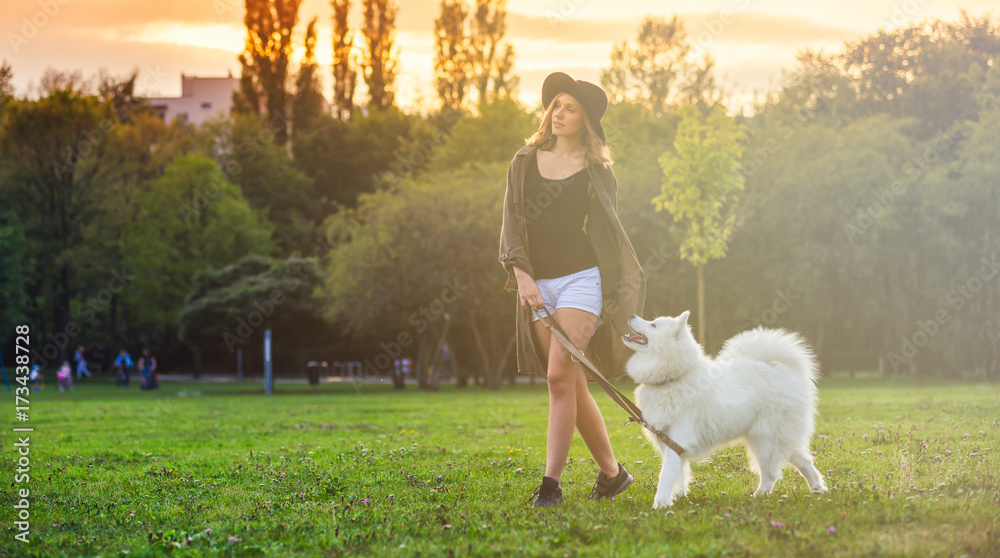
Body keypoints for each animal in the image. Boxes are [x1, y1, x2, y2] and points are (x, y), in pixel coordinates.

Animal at [624, 312, 828, 510]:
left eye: (653, 325)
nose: (632, 315)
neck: (673, 378)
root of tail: (779, 365)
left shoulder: (677, 438)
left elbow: (665, 475)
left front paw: (659, 505)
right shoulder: (669, 442)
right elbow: (679, 474)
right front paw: (678, 496)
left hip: (765, 439)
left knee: (770, 474)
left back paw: (759, 495)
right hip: (778, 437)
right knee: (803, 460)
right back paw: (817, 488)